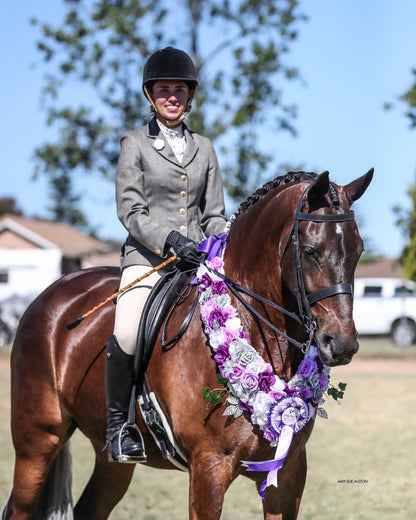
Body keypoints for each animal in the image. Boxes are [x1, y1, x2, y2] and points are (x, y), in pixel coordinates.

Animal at [2, 171, 374, 520]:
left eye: (358, 251)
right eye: (310, 251)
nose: (341, 344)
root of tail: (55, 291)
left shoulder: (289, 472)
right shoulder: (209, 470)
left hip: (110, 460)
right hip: (37, 441)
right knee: (20, 506)